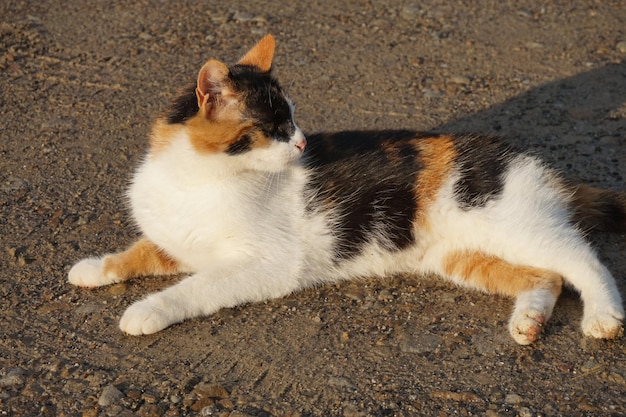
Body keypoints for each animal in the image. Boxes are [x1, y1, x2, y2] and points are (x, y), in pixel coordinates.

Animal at [68, 33, 624, 344]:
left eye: (293, 121)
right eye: (275, 127)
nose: (301, 143)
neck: (197, 179)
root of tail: (530, 161)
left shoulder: (265, 264)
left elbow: (194, 287)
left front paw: (147, 310)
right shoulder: (178, 241)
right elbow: (140, 251)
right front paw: (95, 268)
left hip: (515, 225)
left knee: (584, 261)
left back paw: (603, 317)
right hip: (463, 255)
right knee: (546, 277)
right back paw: (527, 323)